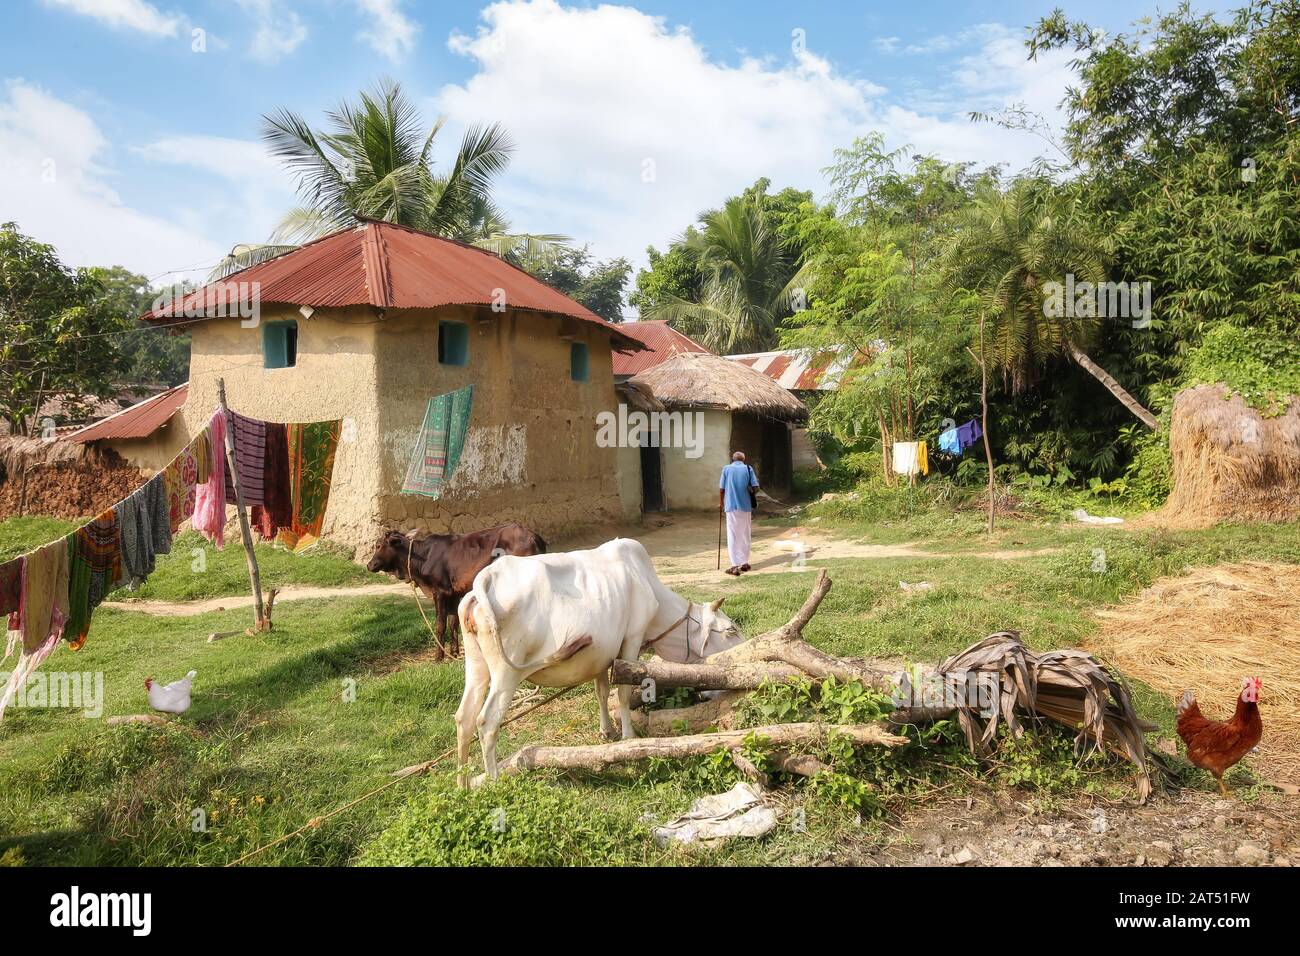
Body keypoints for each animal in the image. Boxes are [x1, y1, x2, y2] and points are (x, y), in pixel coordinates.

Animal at [369, 522, 546, 658]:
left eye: (378, 545)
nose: (369, 565)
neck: (420, 557)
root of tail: (534, 536)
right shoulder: (453, 595)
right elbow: (453, 623)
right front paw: (454, 653)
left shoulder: (439, 592)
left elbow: (440, 625)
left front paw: (438, 657)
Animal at [454, 538, 743, 785]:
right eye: (731, 629)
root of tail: (486, 579)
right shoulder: (632, 640)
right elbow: (623, 693)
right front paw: (628, 737)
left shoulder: (602, 654)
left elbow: (602, 692)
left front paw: (607, 732)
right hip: (507, 672)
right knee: (487, 721)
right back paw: (494, 782)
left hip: (476, 666)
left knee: (464, 718)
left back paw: (463, 784)